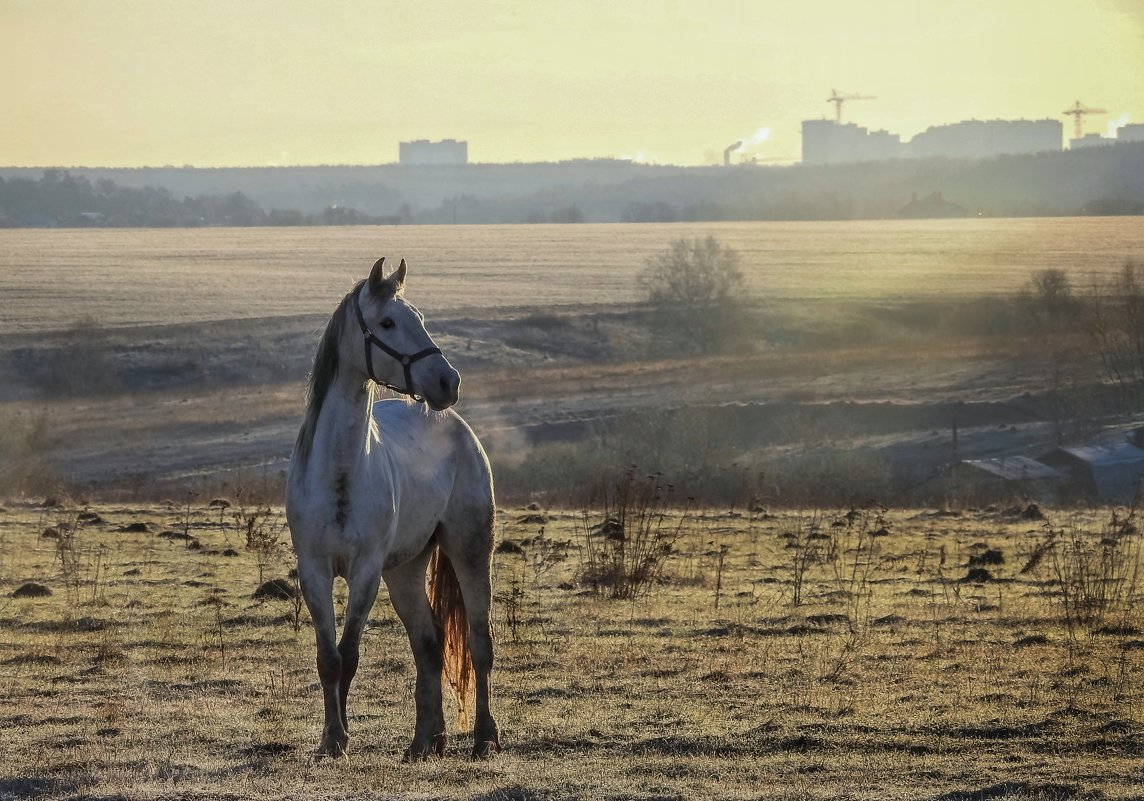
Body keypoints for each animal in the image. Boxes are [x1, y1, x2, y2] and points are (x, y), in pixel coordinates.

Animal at [284, 256, 496, 755]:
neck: (340, 473)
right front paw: (330, 738)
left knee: (479, 644)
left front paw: (340, 736)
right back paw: (425, 743)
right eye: (387, 323)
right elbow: (328, 658)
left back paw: (483, 737)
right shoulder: (314, 571)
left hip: (470, 550)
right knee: (428, 644)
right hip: (405, 570)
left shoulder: (365, 571)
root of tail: (459, 427)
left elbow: (349, 655)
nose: (447, 381)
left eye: (417, 318)